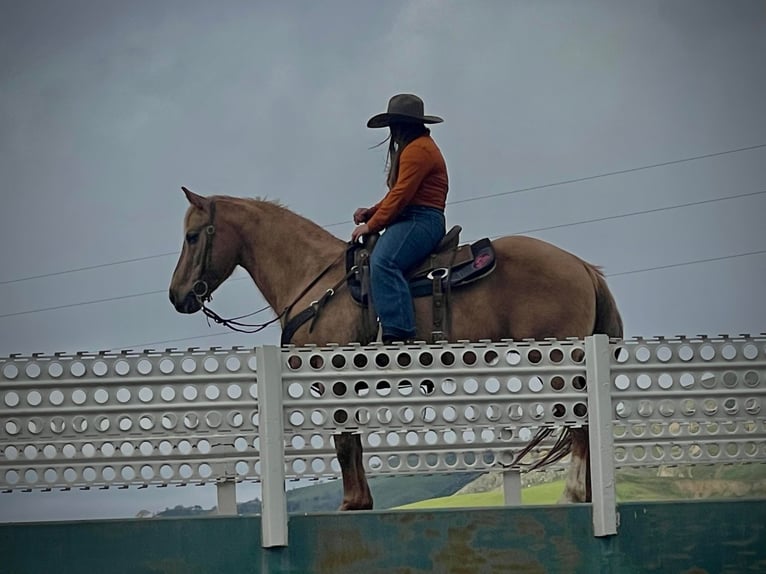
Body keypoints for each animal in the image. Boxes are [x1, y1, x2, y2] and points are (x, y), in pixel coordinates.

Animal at [168, 189, 624, 512]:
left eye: (192, 236)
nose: (177, 296)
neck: (316, 280)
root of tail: (582, 267)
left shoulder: (335, 381)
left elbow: (344, 442)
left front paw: (351, 503)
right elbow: (353, 442)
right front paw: (360, 501)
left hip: (559, 360)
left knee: (581, 422)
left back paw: (572, 494)